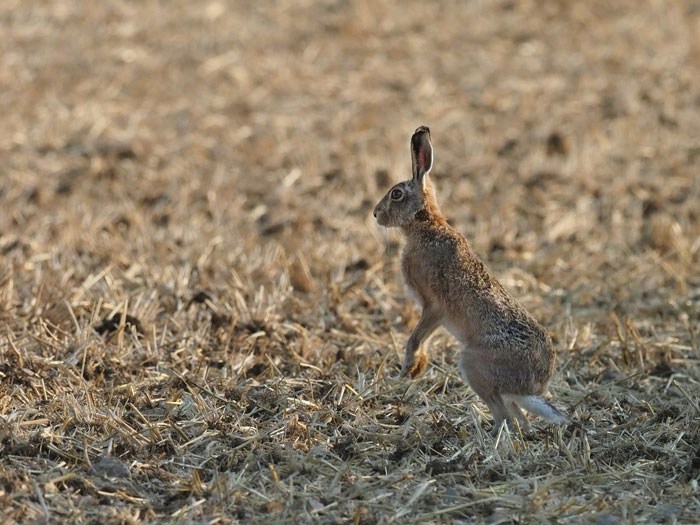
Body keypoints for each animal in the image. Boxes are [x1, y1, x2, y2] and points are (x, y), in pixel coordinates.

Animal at [373, 126, 566, 432]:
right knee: (519, 419)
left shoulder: (434, 305)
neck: (426, 225)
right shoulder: (435, 314)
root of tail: (534, 385)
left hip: (472, 365)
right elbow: (423, 338)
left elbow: (415, 338)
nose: (376, 214)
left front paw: (406, 369)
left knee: (505, 417)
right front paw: (418, 367)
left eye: (396, 193)